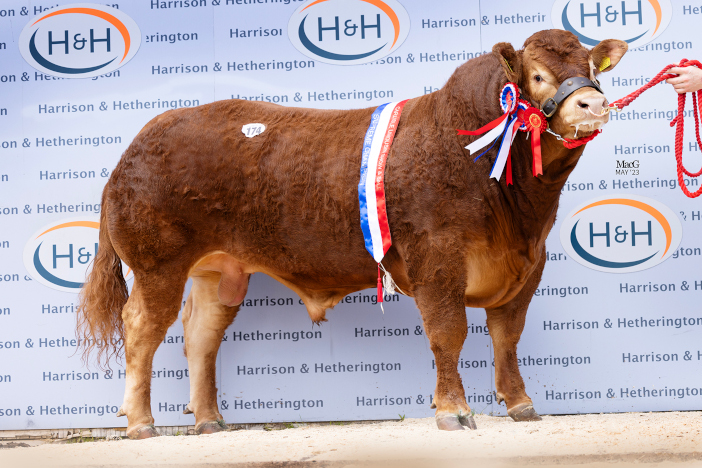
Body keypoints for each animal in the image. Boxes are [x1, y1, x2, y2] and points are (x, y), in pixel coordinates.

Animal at [77, 29, 628, 438]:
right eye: (537, 76)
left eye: (593, 69)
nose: (592, 104)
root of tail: (136, 146)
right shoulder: (437, 258)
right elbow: (448, 333)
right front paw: (453, 411)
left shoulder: (528, 264)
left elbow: (507, 337)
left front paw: (520, 404)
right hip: (157, 263)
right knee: (141, 327)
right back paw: (141, 423)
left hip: (220, 271)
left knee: (201, 334)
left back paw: (210, 420)